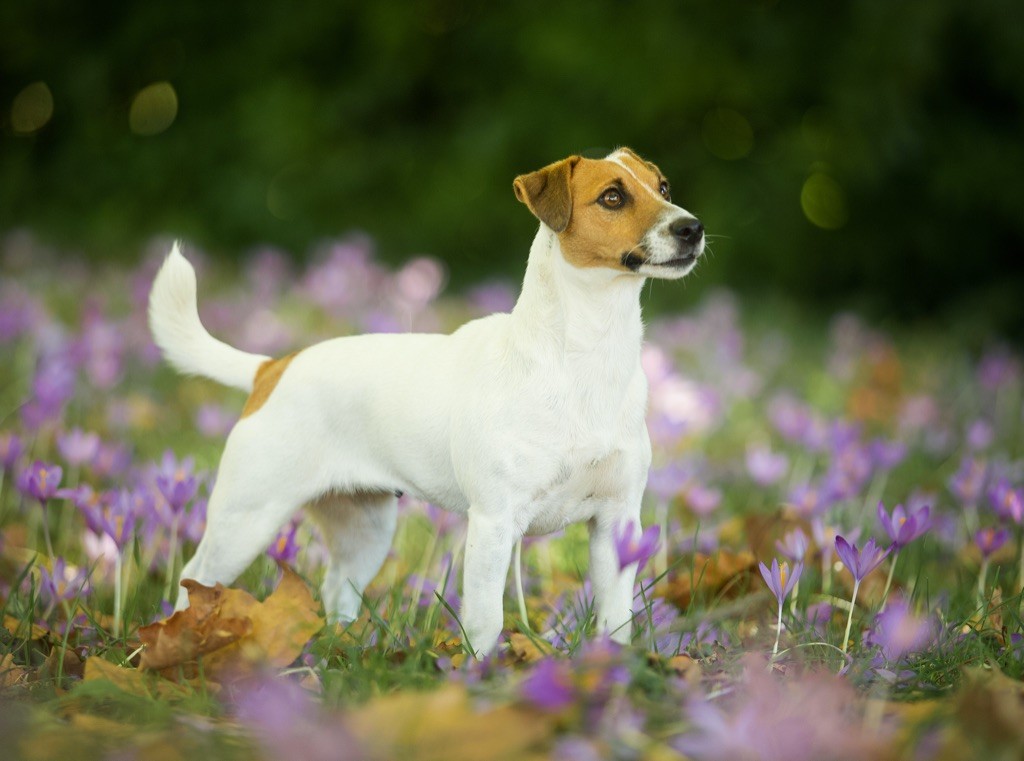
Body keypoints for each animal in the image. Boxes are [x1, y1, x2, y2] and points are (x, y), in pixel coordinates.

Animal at [149, 147, 704, 655]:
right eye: (612, 197)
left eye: (664, 187)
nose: (693, 228)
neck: (583, 360)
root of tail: (273, 368)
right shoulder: (493, 522)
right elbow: (485, 619)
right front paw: (480, 676)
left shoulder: (616, 522)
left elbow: (615, 616)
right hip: (246, 519)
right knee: (195, 574)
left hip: (365, 529)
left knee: (337, 586)